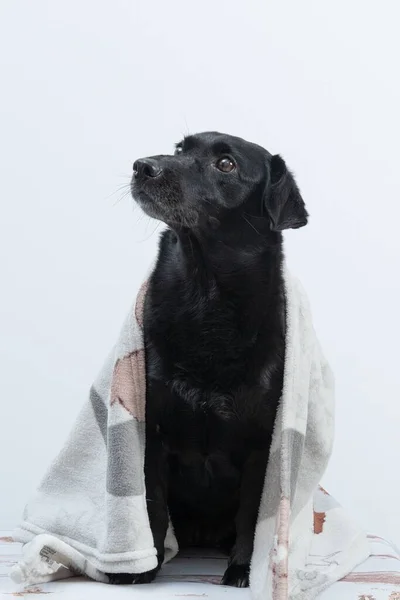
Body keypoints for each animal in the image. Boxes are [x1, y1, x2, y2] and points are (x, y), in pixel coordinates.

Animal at [106, 131, 306, 584]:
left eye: (226, 164)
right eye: (180, 150)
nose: (142, 166)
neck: (205, 297)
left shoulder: (260, 447)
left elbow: (251, 517)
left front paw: (242, 569)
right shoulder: (154, 437)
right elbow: (153, 508)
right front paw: (148, 566)